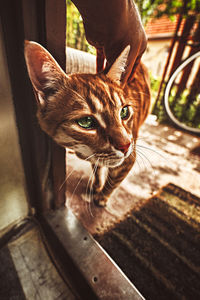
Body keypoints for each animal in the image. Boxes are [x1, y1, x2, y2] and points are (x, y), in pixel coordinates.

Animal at [24, 41, 150, 206]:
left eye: (124, 112)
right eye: (86, 122)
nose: (126, 145)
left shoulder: (128, 159)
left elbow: (113, 181)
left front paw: (102, 196)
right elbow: (97, 168)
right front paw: (97, 184)